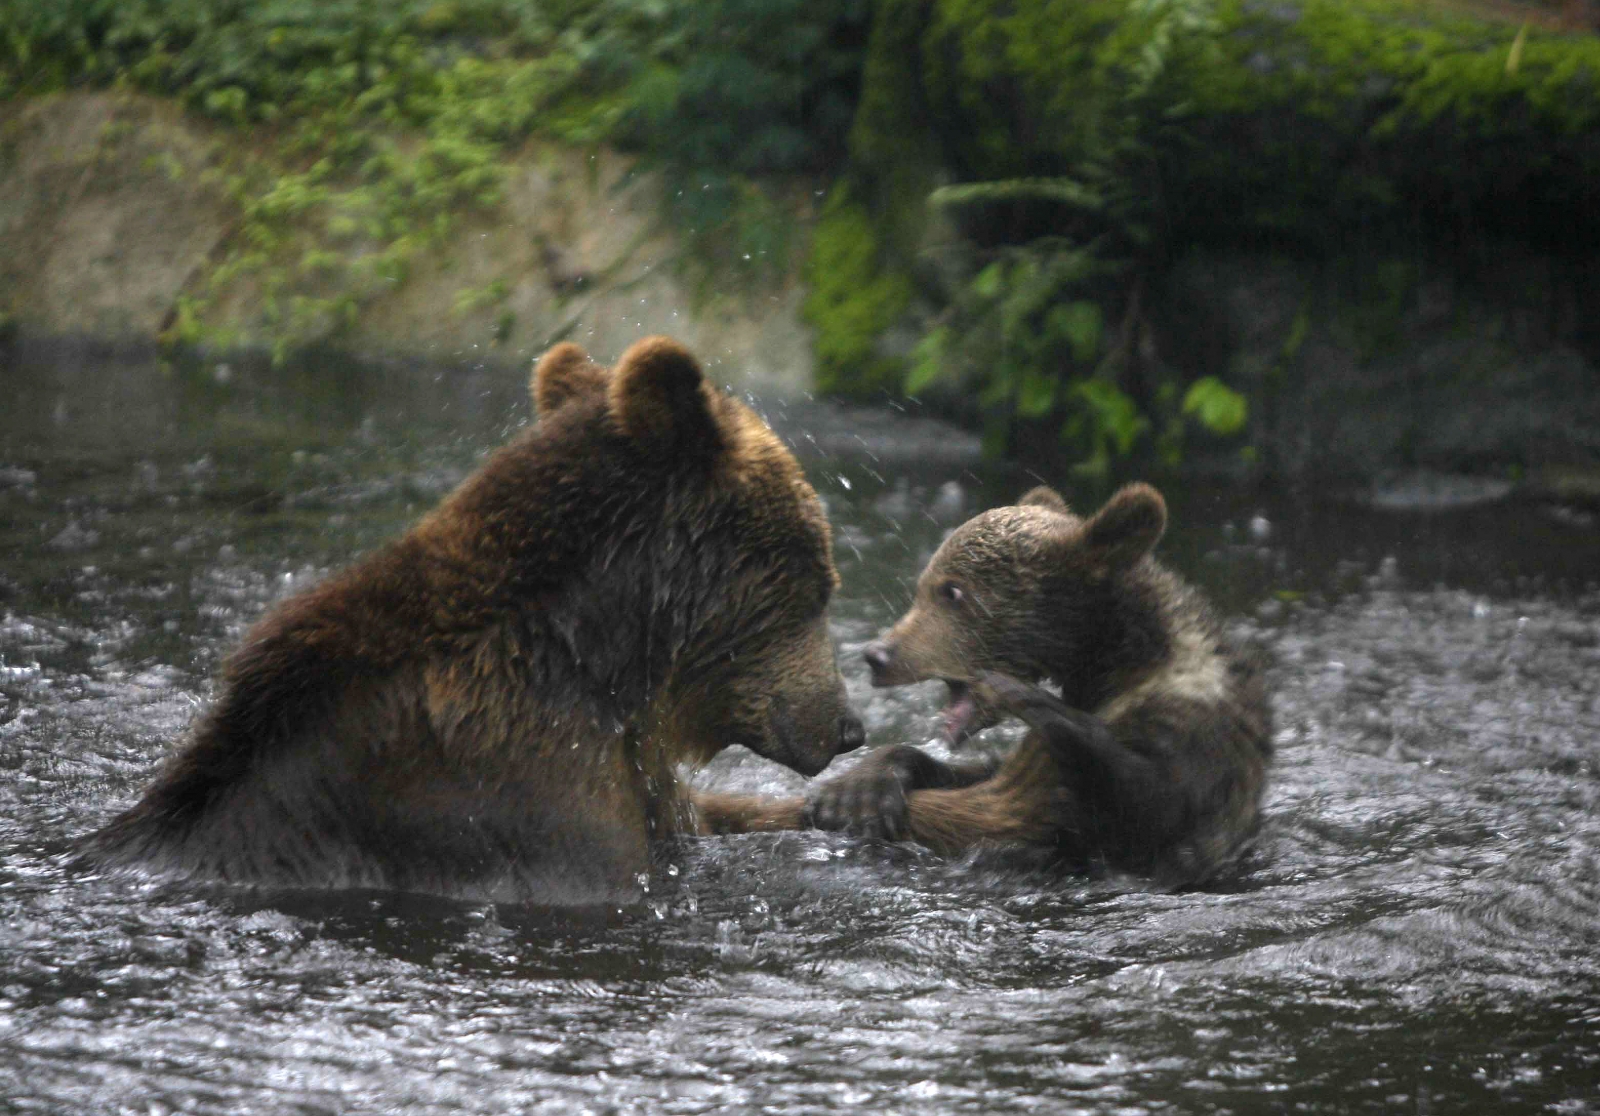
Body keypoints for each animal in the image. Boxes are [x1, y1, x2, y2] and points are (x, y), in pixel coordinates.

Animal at [800, 482, 1273, 882]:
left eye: (952, 591)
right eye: (923, 586)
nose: (878, 655)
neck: (1121, 655)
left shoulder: (1193, 730)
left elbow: (1153, 803)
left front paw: (1018, 692)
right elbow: (980, 773)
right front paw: (861, 788)